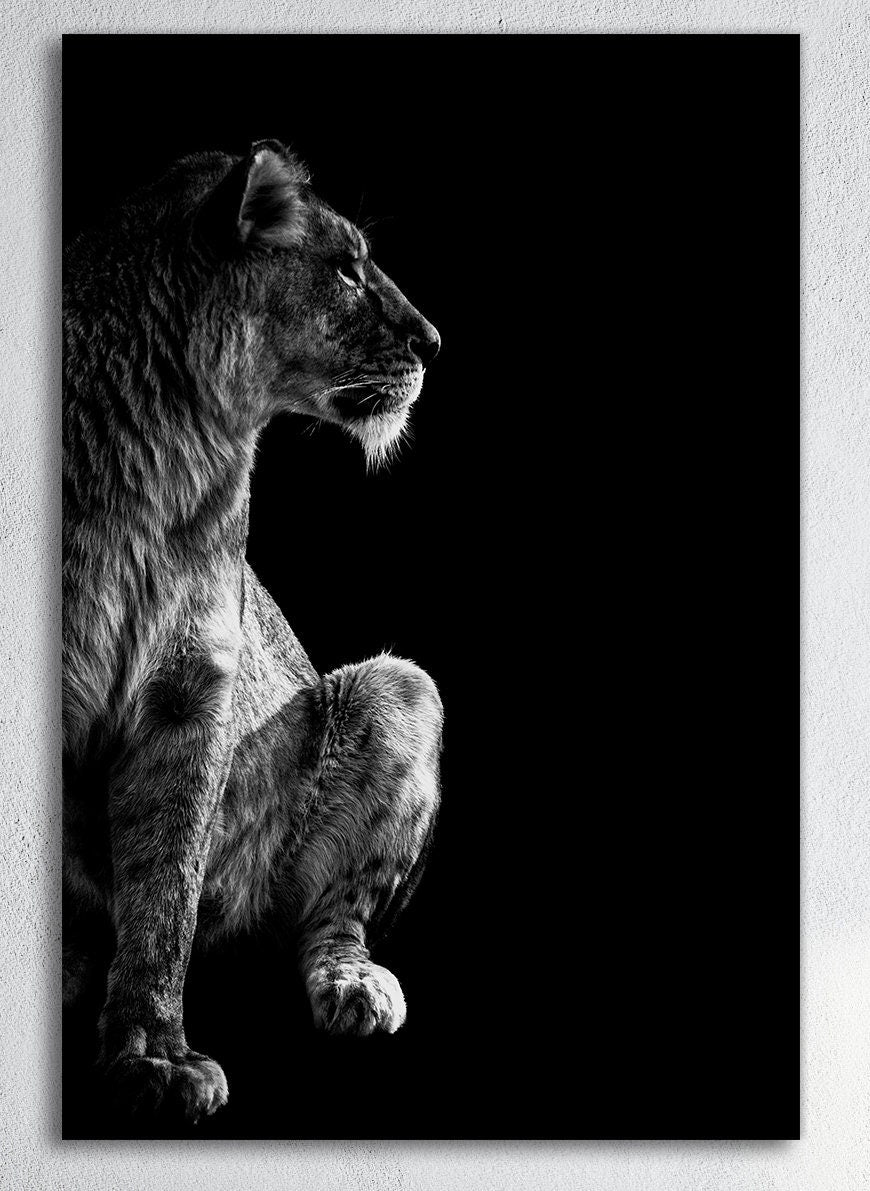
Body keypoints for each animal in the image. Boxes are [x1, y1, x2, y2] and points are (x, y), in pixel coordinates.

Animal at [62, 139, 443, 1124]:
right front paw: (153, 1056)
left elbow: (164, 890)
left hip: (402, 688)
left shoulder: (190, 688)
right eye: (346, 268)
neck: (171, 438)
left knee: (326, 919)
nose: (434, 341)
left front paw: (154, 1053)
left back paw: (354, 985)